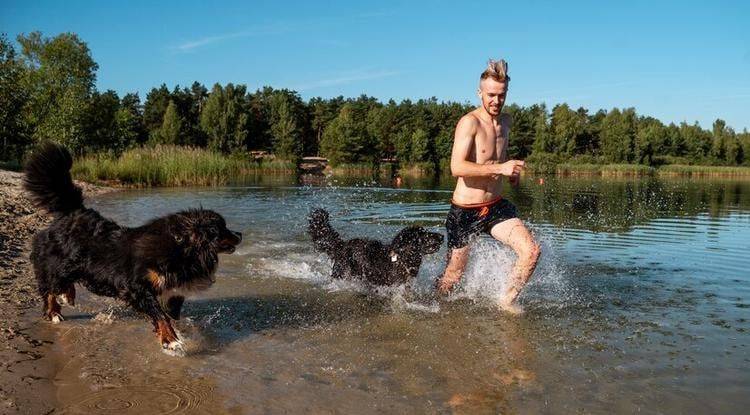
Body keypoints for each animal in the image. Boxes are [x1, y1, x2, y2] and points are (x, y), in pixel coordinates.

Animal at [24, 143, 241, 354]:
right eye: (222, 229)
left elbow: (169, 313)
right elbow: (160, 315)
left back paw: (67, 296)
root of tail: (74, 211)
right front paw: (171, 341)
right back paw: (55, 309)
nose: (239, 234)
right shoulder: (136, 287)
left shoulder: (170, 291)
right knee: (50, 285)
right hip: (58, 261)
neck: (180, 249)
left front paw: (177, 331)